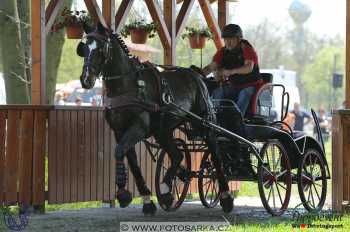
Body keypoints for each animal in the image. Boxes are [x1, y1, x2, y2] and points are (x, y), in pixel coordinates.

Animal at [78, 22, 234, 215]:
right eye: (83, 48)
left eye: (100, 48)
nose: (86, 79)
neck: (127, 86)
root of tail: (197, 76)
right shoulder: (119, 130)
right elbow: (132, 162)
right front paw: (146, 201)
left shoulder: (139, 127)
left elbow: (119, 151)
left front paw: (123, 193)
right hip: (162, 131)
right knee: (177, 156)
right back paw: (168, 189)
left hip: (204, 125)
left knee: (215, 154)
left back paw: (226, 197)